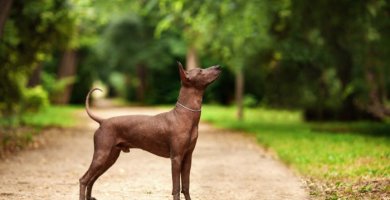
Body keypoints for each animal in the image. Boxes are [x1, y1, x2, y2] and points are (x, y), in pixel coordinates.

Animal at [78, 62, 222, 200]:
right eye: (200, 71)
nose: (219, 66)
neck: (184, 116)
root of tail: (103, 121)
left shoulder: (187, 158)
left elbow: (185, 187)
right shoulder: (176, 158)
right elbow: (176, 188)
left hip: (110, 158)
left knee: (92, 180)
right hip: (101, 155)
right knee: (84, 180)